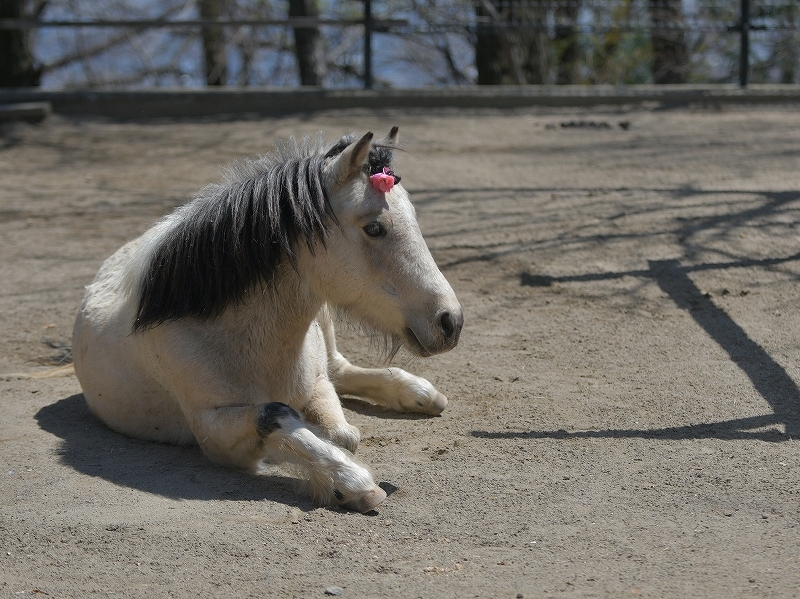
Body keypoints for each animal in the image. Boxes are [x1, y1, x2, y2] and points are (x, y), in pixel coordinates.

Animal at [75, 129, 466, 512]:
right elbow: (278, 416)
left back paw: (418, 392)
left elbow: (341, 432)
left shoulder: (315, 383)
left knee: (339, 367)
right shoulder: (213, 431)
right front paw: (349, 482)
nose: (450, 322)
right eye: (374, 228)